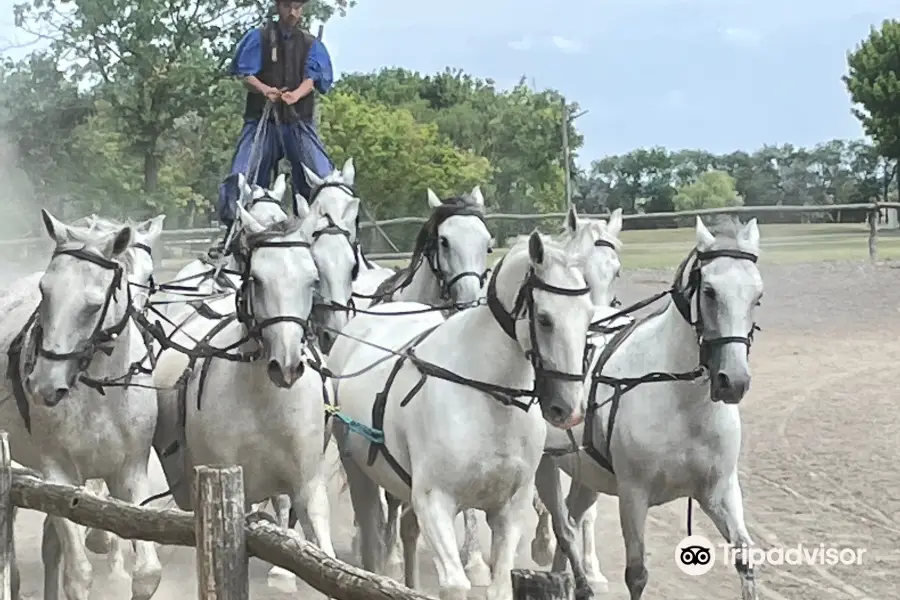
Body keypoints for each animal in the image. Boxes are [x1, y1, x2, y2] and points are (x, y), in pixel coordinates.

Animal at [0, 211, 164, 600]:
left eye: (92, 305)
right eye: (44, 292)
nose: (44, 385)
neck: (100, 394)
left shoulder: (129, 473)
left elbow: (147, 573)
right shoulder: (58, 474)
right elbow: (78, 575)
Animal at [153, 204, 336, 588]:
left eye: (312, 280)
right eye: (257, 280)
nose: (287, 366)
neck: (263, 400)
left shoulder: (308, 485)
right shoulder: (226, 481)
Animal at [326, 232, 596, 600]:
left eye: (589, 316)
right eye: (544, 318)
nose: (568, 408)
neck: (487, 398)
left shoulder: (509, 509)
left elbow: (500, 585)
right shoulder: (435, 503)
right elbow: (455, 584)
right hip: (358, 472)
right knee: (372, 539)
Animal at [536, 216, 764, 600]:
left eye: (757, 297)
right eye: (709, 291)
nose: (733, 380)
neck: (683, 401)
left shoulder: (719, 490)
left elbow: (744, 558)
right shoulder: (633, 493)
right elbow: (637, 574)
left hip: (587, 475)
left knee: (572, 518)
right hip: (544, 465)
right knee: (562, 526)